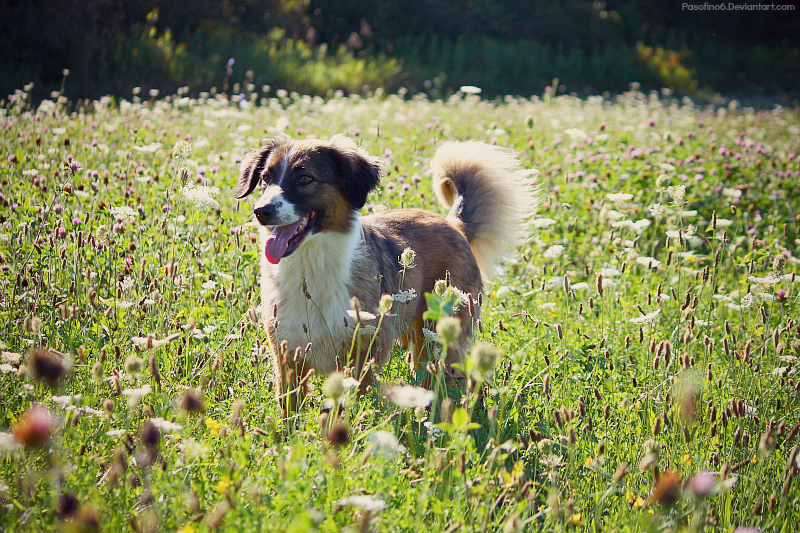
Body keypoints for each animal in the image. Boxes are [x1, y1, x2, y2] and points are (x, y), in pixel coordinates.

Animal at [234, 133, 536, 412]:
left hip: (443, 333)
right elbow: (289, 406)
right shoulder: (287, 351)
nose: (261, 210)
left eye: (305, 179)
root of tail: (454, 224)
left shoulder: (365, 351)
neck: (311, 263)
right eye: (265, 179)